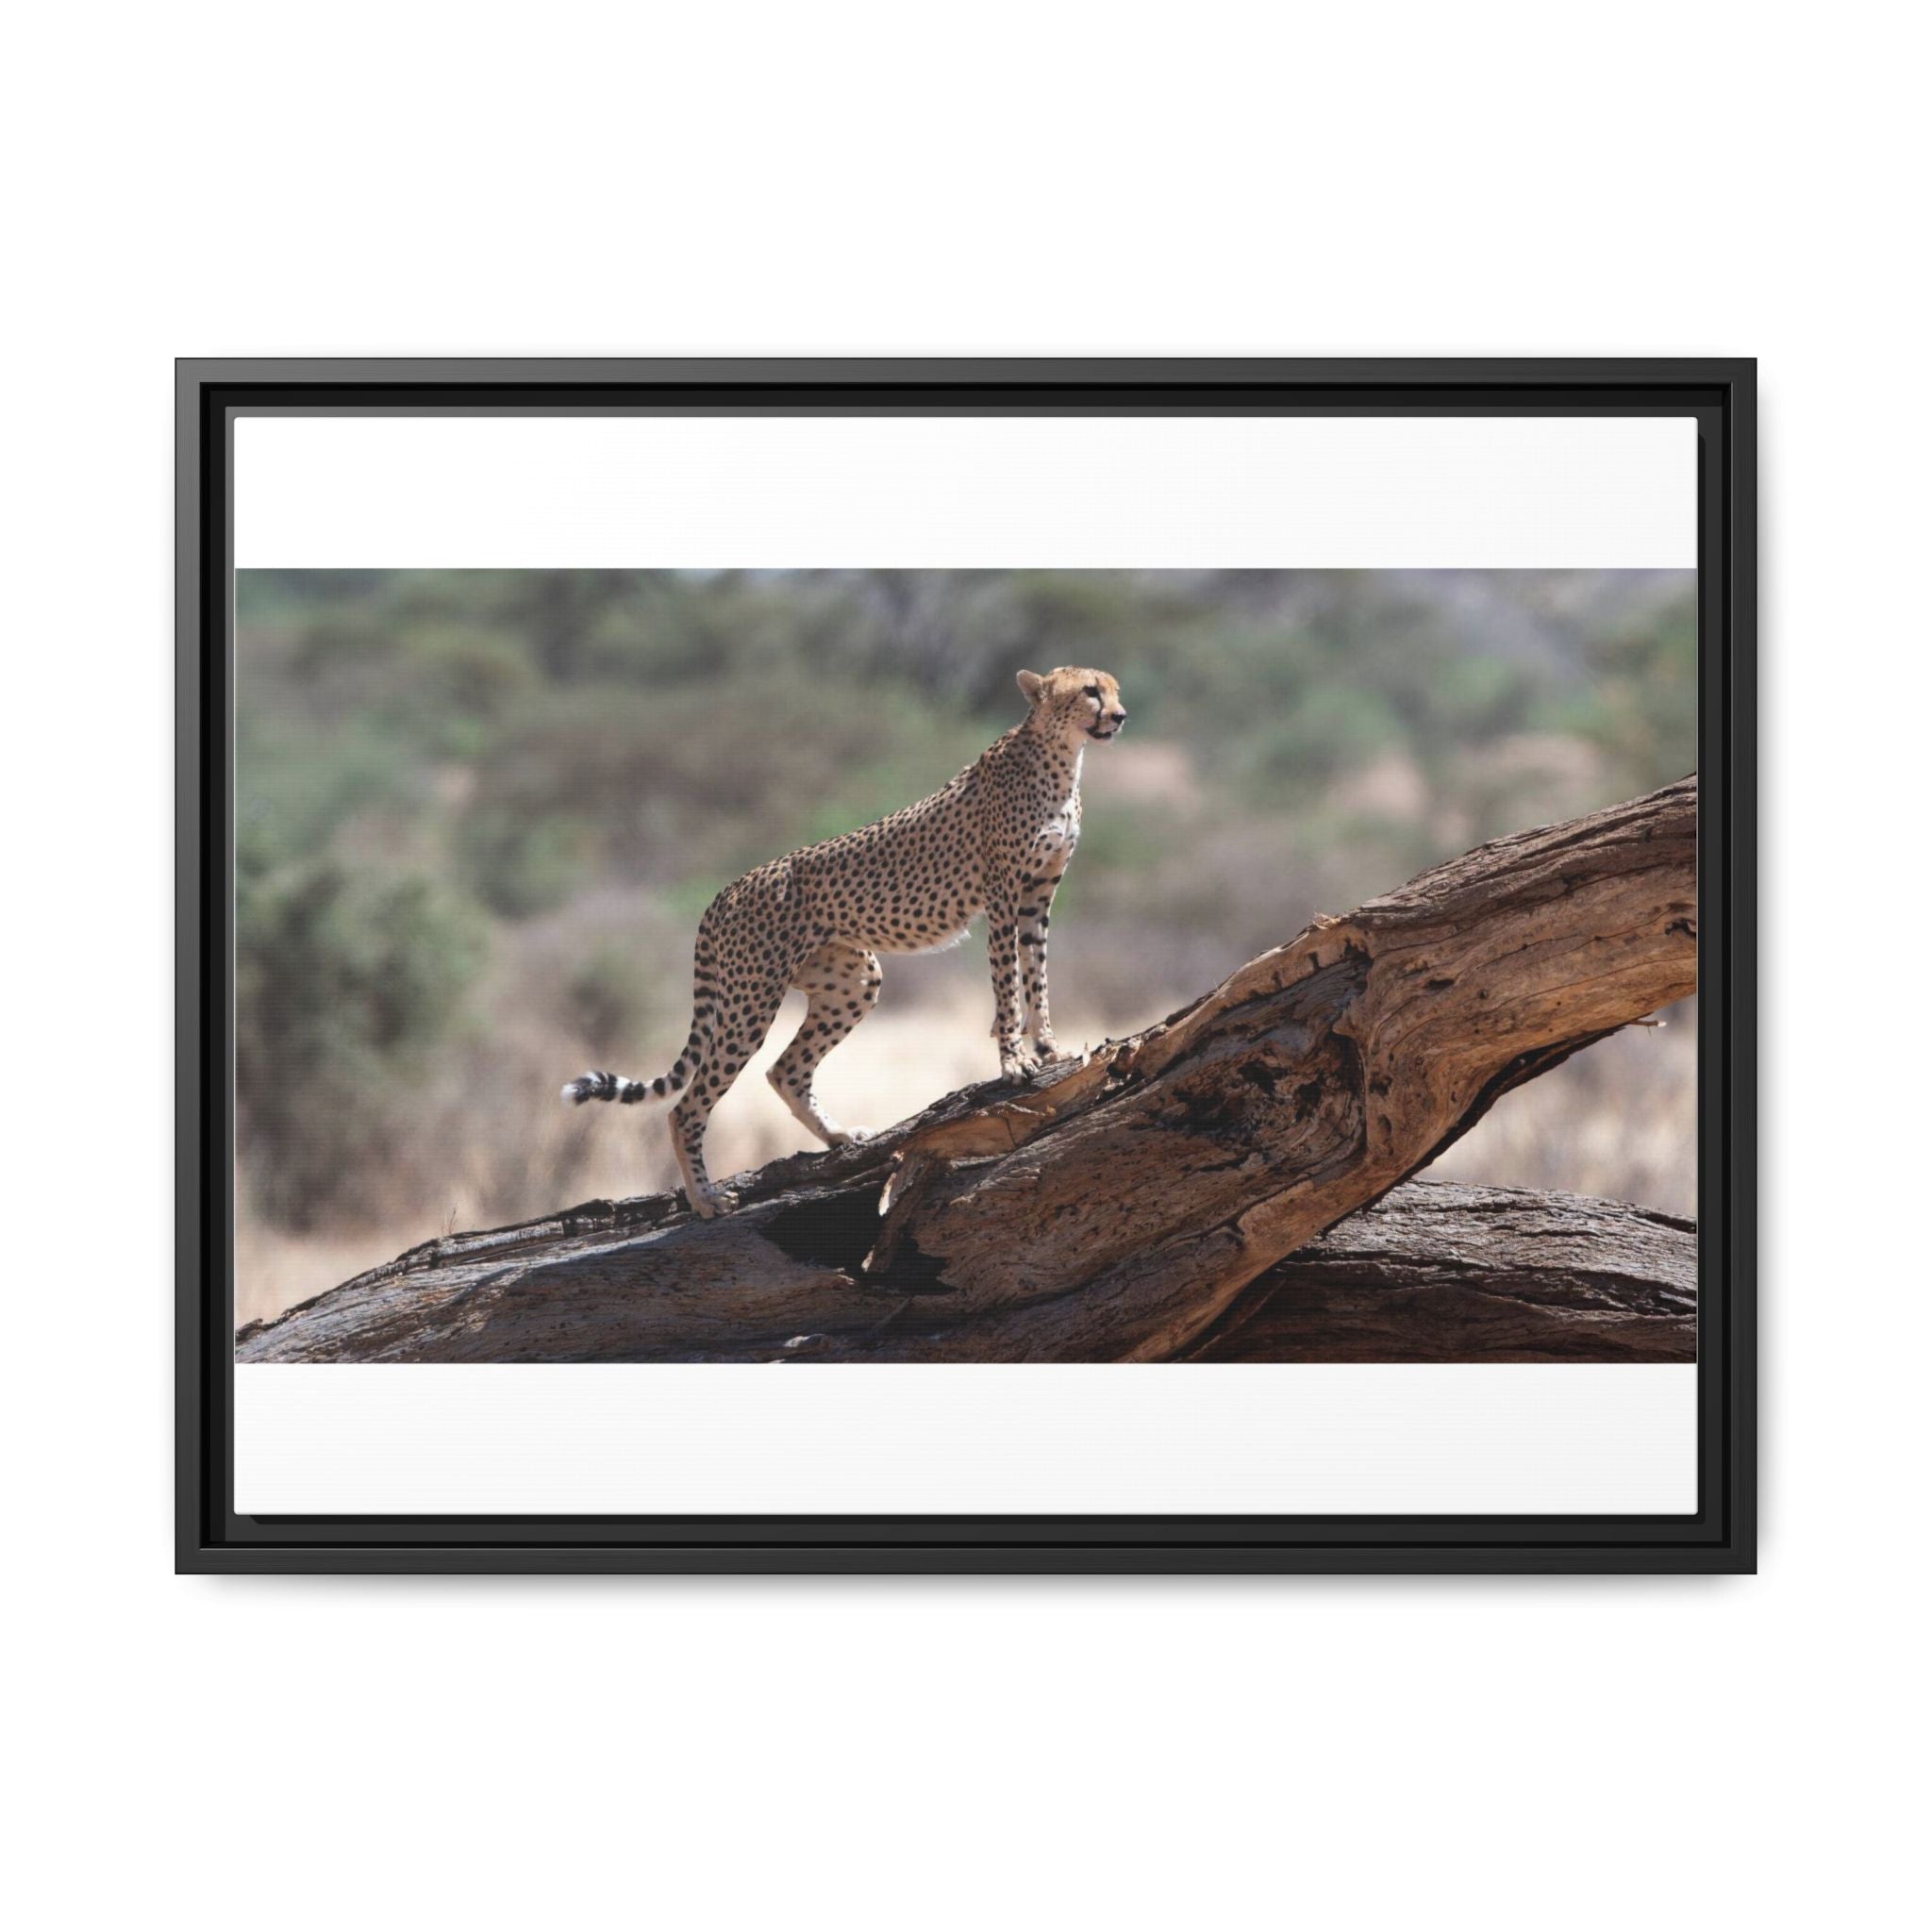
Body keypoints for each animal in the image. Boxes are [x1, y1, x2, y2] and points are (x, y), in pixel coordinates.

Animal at [561, 665, 1129, 1217]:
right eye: (1089, 691)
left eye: (1114, 689)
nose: (1120, 716)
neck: (1062, 757)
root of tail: (727, 889)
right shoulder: (1003, 896)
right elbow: (1008, 983)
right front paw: (1014, 1062)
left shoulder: (1037, 897)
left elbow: (1036, 975)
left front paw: (1049, 1047)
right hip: (751, 999)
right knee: (688, 1105)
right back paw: (705, 1199)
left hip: (852, 979)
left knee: (785, 1070)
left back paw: (838, 1137)